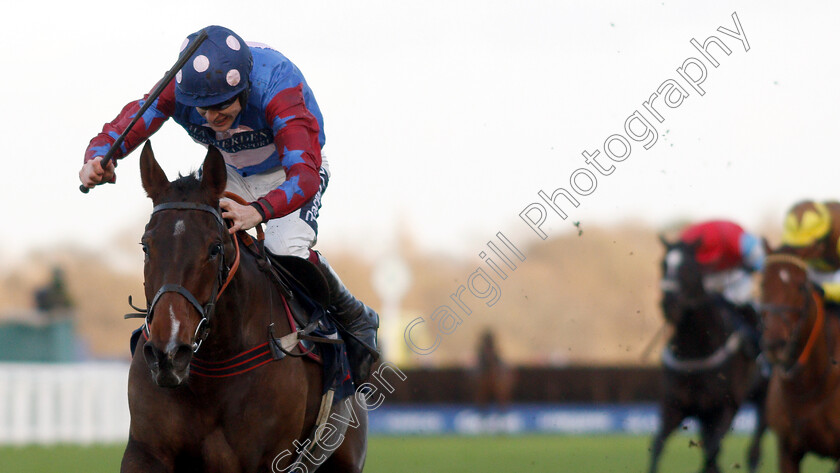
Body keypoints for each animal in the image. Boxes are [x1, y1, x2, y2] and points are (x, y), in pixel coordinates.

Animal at [122, 142, 368, 470]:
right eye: (146, 246)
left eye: (215, 248)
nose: (169, 353)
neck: (212, 368)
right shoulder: (145, 451)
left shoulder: (268, 460)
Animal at [648, 236, 768, 472]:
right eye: (663, 265)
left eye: (688, 268)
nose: (668, 304)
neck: (696, 348)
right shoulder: (675, 405)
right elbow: (657, 447)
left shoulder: (726, 406)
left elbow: (712, 451)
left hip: (765, 397)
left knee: (754, 450)